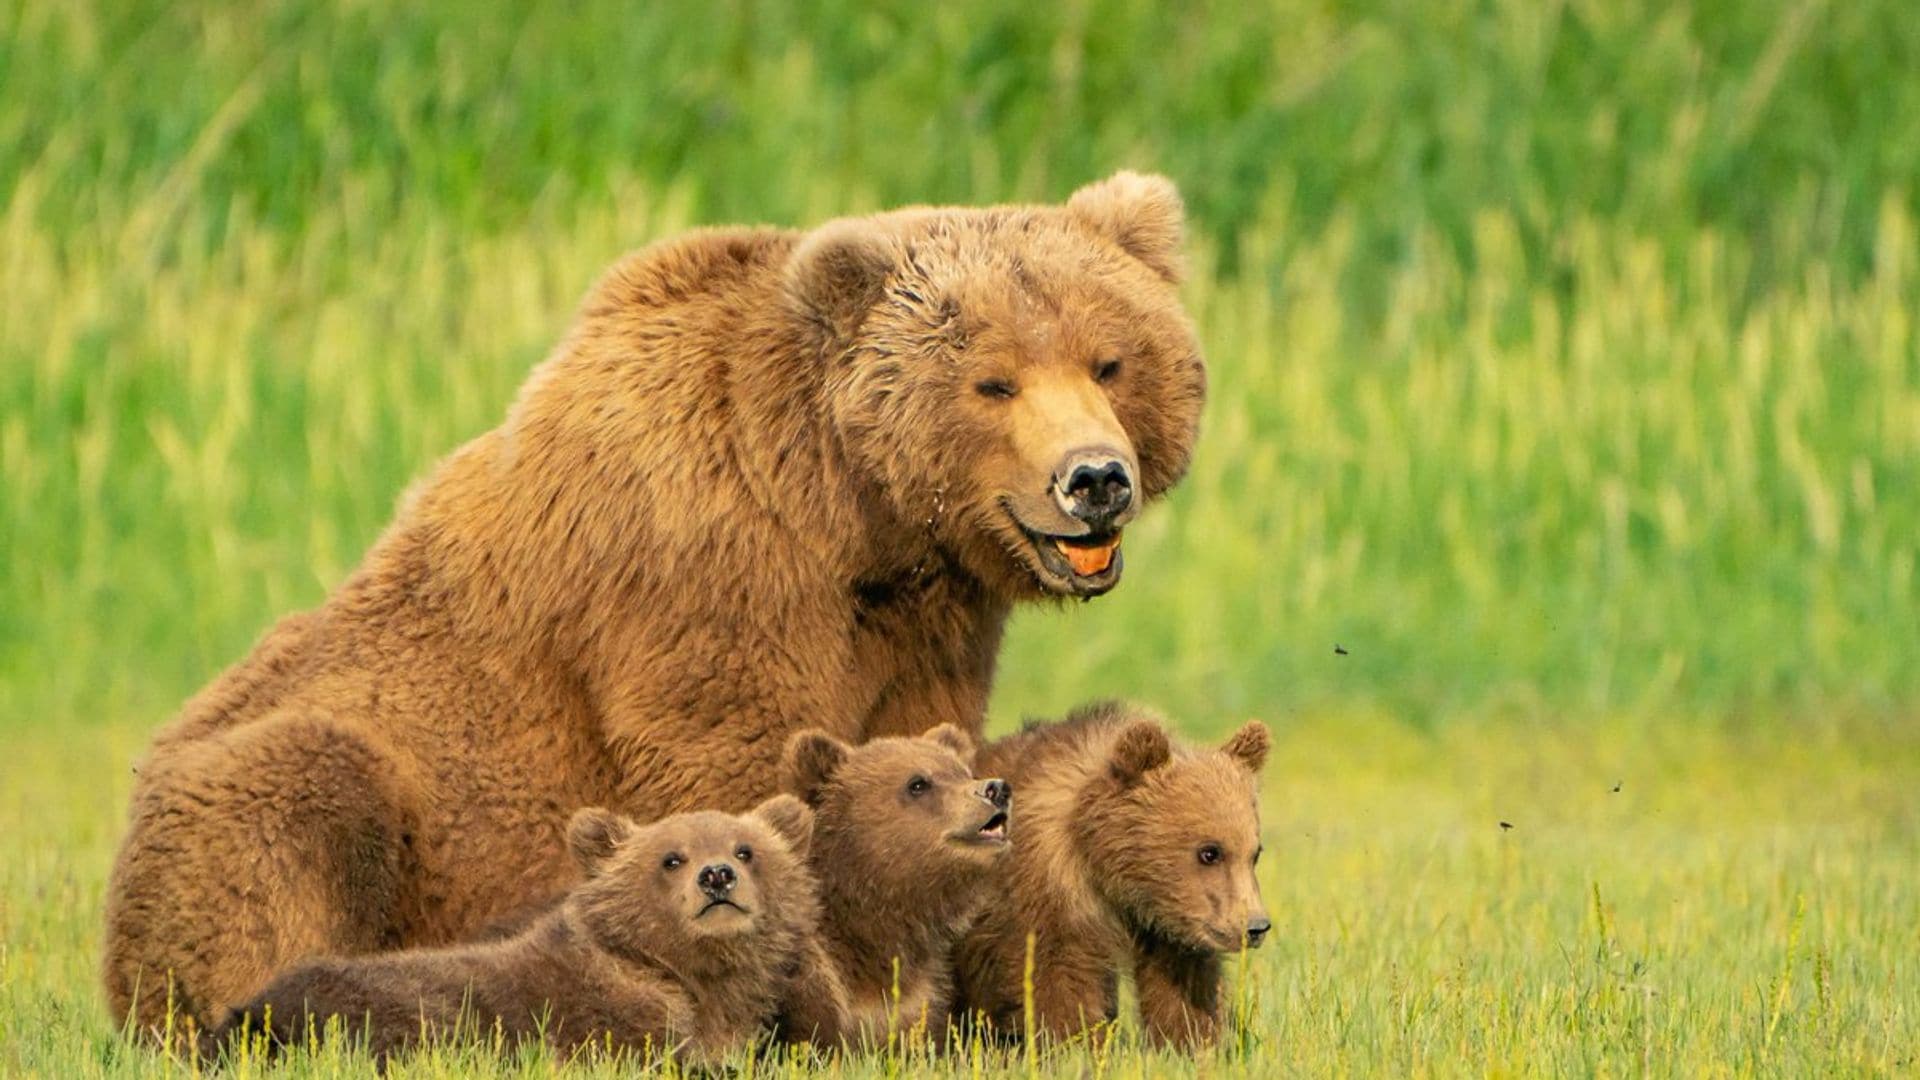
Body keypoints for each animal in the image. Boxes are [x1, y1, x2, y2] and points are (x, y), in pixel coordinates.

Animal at [101, 171, 1198, 1030]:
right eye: (993, 382)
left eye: (1110, 360)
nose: (1095, 479)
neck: (849, 514)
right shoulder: (701, 580)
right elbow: (733, 768)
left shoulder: (923, 624)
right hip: (322, 771)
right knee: (283, 824)